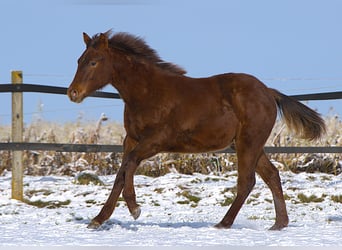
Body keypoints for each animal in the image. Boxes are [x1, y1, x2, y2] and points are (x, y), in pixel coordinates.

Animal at [67, 30, 326, 229]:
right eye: (79, 60)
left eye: (93, 62)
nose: (73, 93)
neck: (147, 92)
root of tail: (269, 92)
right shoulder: (131, 140)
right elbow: (120, 175)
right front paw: (98, 219)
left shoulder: (156, 141)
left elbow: (129, 165)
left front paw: (134, 209)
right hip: (249, 144)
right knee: (271, 175)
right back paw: (279, 224)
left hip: (248, 143)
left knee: (247, 180)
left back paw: (224, 223)